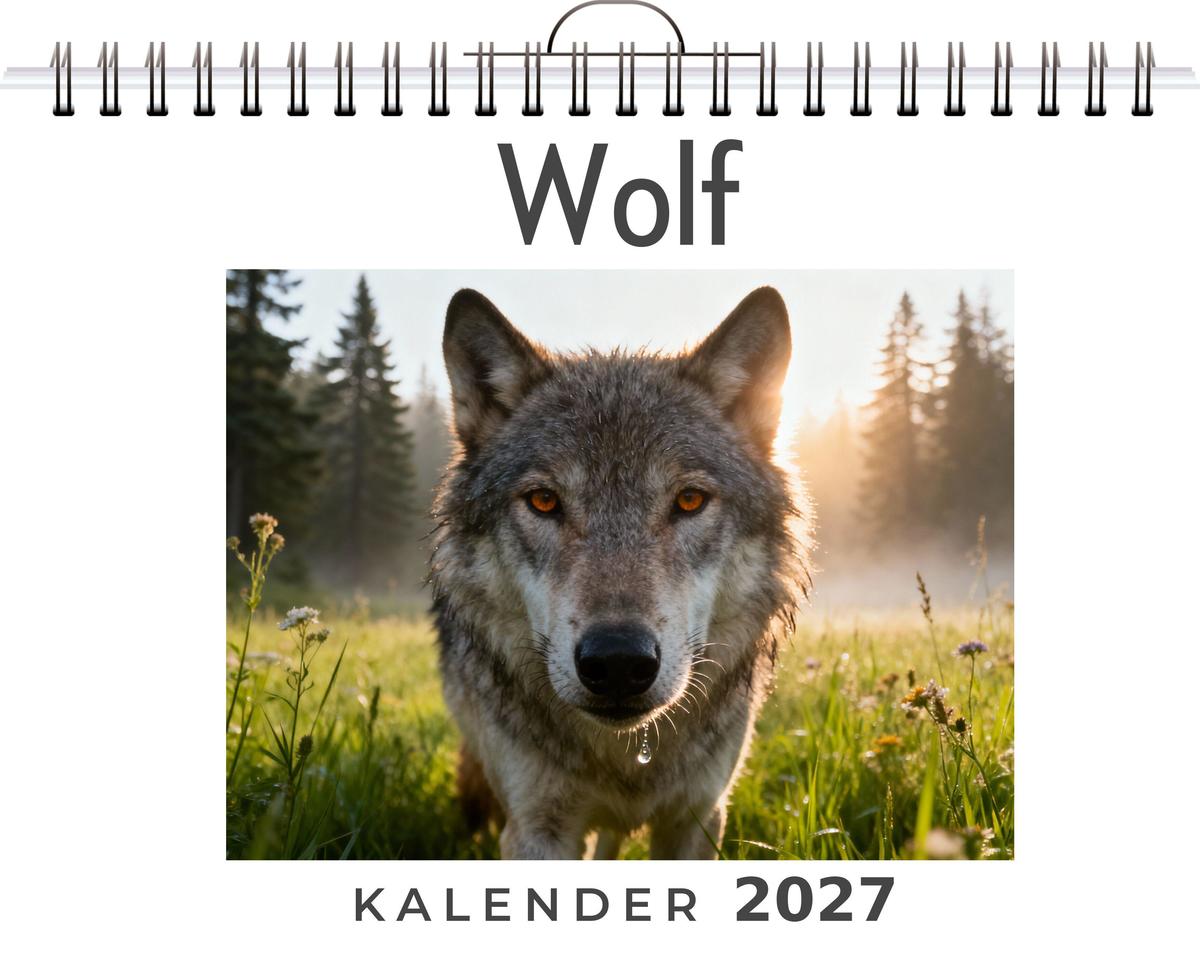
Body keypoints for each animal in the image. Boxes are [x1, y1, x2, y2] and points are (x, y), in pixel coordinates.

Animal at [430, 285, 810, 859]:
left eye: (689, 500)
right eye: (544, 501)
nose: (617, 662)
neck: (625, 752)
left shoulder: (697, 818)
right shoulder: (537, 830)